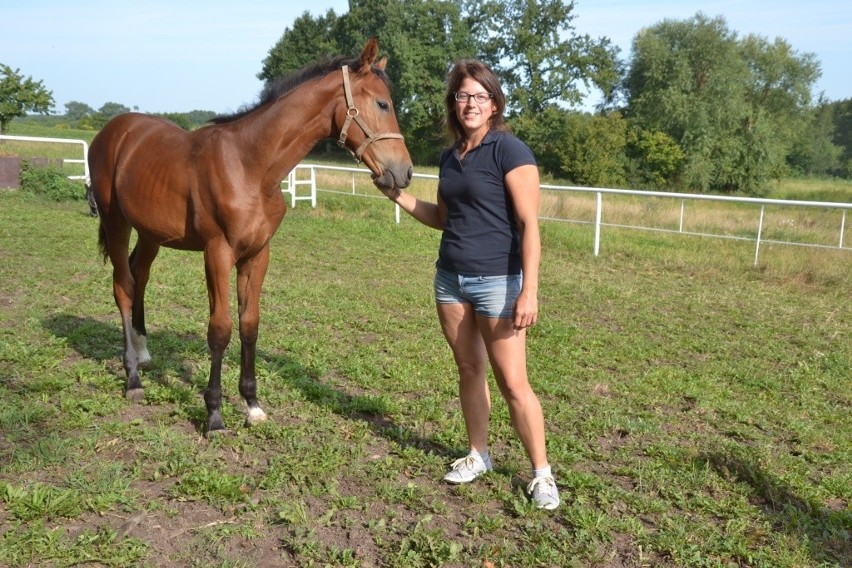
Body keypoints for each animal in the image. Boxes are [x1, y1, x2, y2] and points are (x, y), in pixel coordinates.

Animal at [88, 37, 414, 434]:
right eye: (383, 103)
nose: (405, 172)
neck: (250, 167)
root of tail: (113, 130)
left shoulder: (257, 255)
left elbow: (249, 326)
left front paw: (252, 405)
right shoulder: (217, 252)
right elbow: (220, 329)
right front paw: (214, 414)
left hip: (151, 233)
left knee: (139, 276)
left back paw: (143, 350)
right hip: (116, 222)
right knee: (122, 286)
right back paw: (133, 378)